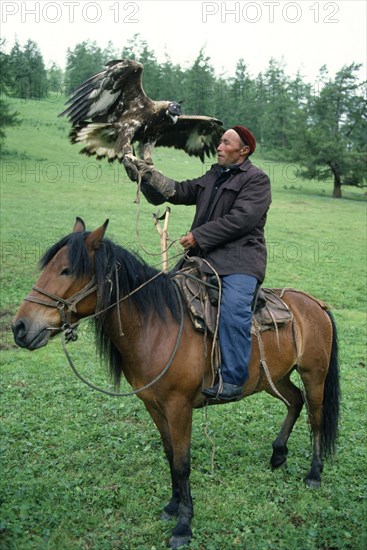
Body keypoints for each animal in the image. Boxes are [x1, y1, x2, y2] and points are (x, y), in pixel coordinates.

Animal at [12, 218, 340, 548]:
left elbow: (182, 463)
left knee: (315, 418)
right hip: (276, 377)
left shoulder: (179, 406)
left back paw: (314, 474)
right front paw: (172, 506)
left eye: (67, 270)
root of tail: (316, 305)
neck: (156, 327)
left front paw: (184, 525)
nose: (20, 327)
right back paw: (278, 454)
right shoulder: (154, 405)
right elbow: (170, 454)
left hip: (314, 374)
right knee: (295, 401)